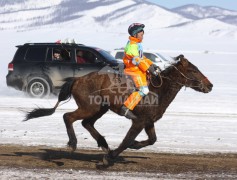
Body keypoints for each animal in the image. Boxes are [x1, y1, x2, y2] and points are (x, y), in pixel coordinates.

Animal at [24, 55, 213, 162]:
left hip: (100, 108)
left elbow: (152, 139)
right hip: (89, 107)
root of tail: (77, 79)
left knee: (86, 123)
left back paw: (103, 143)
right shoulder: (139, 121)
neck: (158, 90)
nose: (210, 85)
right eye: (194, 70)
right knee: (68, 117)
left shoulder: (148, 121)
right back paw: (73, 143)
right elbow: (127, 140)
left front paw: (135, 145)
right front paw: (111, 157)